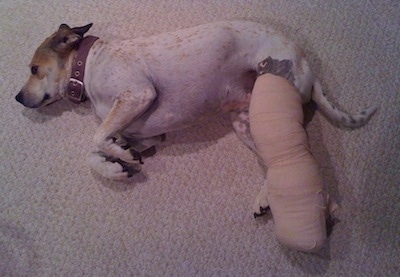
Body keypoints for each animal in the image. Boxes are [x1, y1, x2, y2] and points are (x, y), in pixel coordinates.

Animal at [14, 21, 376, 216]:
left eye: (33, 69)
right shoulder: (145, 135)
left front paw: (115, 156)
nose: (17, 98)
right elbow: (98, 151)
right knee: (273, 162)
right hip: (246, 123)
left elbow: (96, 138)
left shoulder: (138, 94)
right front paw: (115, 166)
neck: (88, 66)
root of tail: (306, 63)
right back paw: (266, 199)